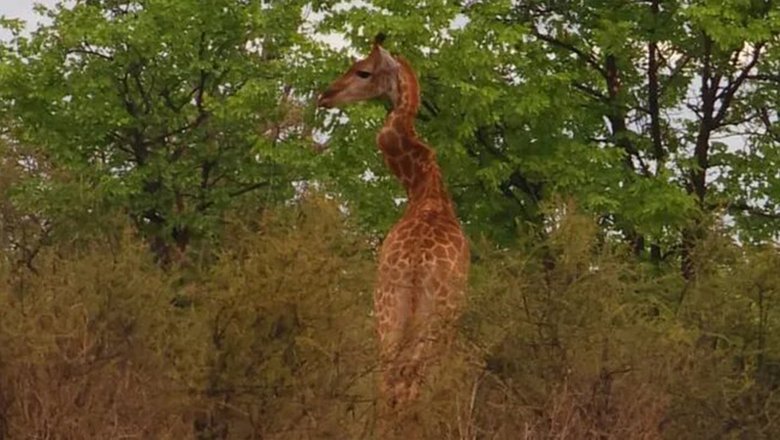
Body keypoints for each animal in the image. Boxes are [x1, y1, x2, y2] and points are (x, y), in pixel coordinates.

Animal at [318, 33, 470, 434]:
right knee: (407, 384)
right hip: (426, 319)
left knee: (389, 381)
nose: (325, 95)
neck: (424, 189)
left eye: (363, 71)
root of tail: (417, 265)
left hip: (389, 313)